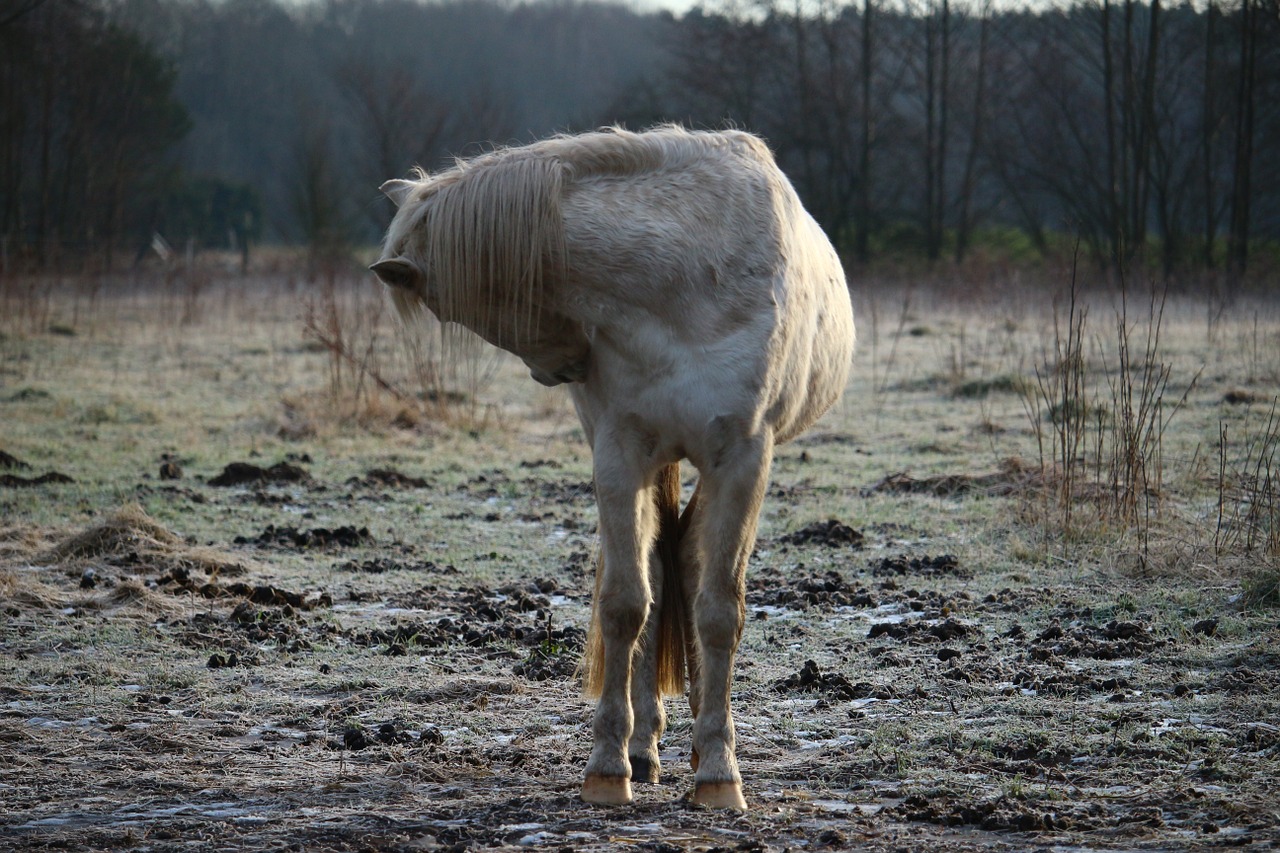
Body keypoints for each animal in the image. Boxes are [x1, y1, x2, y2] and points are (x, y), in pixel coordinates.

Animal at [371, 122, 855, 809]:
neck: (681, 278)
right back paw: (645, 748)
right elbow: (627, 602)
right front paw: (608, 767)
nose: (560, 370)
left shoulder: (742, 458)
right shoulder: (621, 454)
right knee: (661, 568)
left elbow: (719, 611)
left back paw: (701, 743)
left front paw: (719, 774)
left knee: (692, 567)